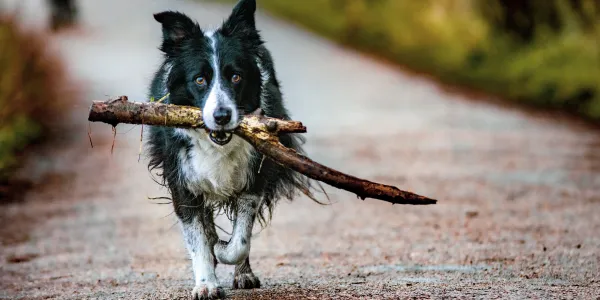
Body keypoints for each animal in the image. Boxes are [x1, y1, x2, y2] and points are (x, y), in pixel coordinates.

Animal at [146, 1, 322, 298]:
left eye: (236, 77)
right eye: (200, 80)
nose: (221, 116)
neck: (216, 143)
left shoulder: (255, 176)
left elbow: (239, 241)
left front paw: (222, 250)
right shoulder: (182, 177)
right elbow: (197, 237)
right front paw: (206, 284)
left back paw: (242, 272)